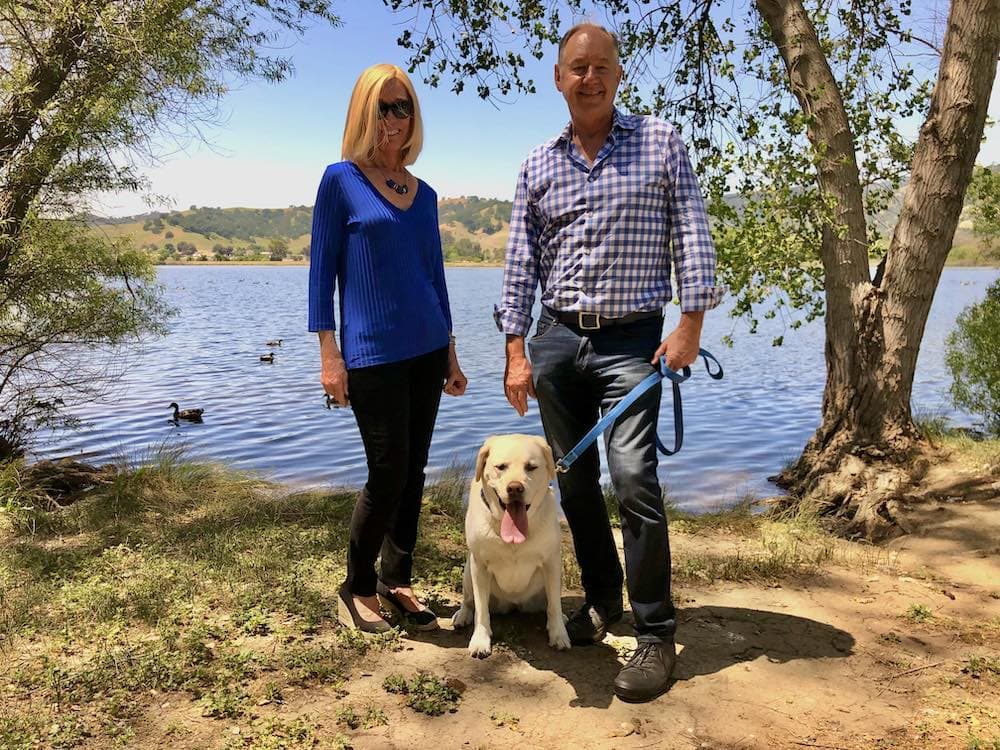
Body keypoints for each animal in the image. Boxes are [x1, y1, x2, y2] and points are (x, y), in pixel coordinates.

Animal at [454, 434, 572, 656]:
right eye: (501, 467)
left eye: (531, 467)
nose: (515, 488)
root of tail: (513, 604)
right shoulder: (479, 566)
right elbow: (481, 610)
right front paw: (480, 640)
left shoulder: (552, 562)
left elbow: (554, 606)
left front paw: (559, 634)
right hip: (468, 571)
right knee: (469, 601)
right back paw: (462, 615)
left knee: (550, 603)